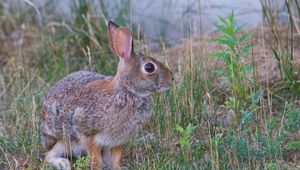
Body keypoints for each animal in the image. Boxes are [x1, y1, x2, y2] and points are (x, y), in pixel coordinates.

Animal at [41, 20, 175, 169]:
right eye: (149, 67)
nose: (171, 79)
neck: (127, 90)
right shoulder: (88, 134)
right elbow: (96, 159)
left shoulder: (119, 140)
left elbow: (116, 157)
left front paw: (118, 168)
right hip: (63, 140)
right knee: (49, 155)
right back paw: (63, 163)